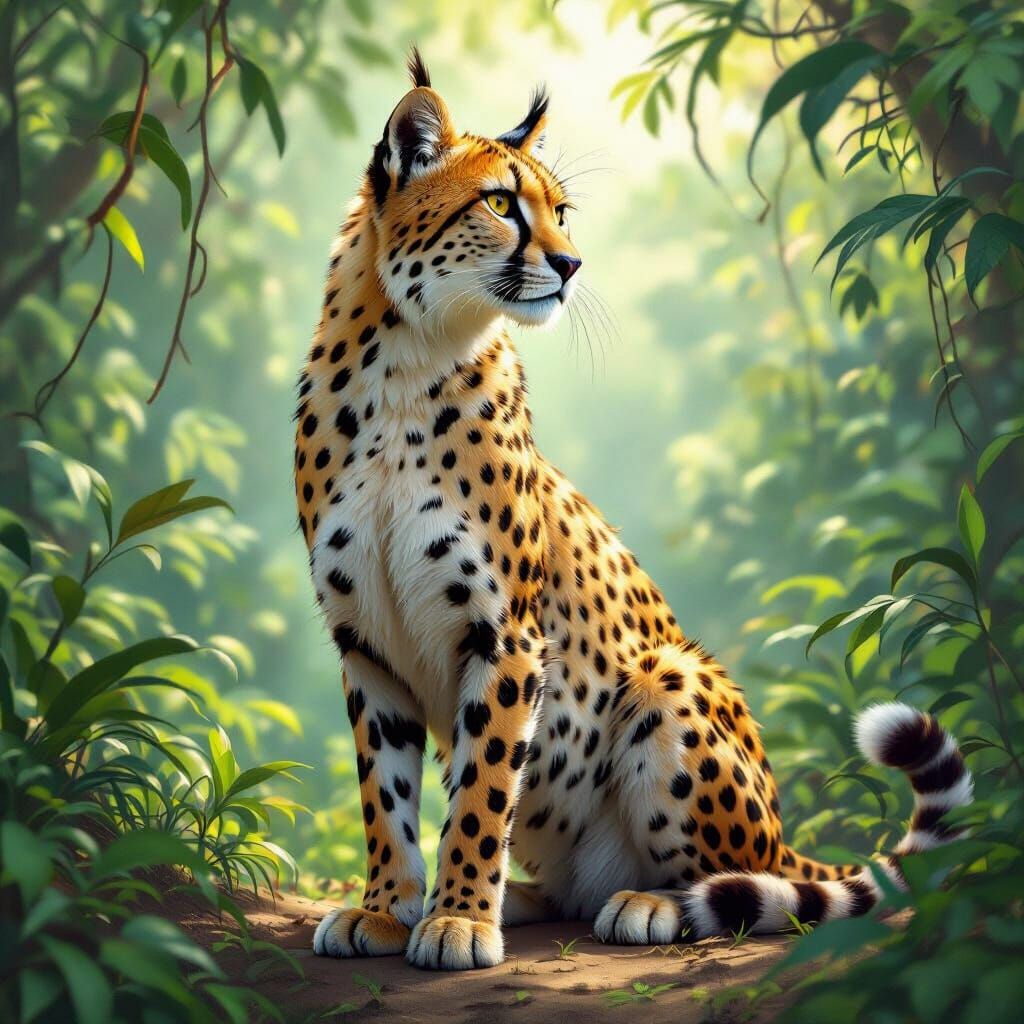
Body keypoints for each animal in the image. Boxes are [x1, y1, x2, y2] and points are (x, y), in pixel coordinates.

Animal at [296, 50, 973, 971]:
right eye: (500, 203)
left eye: (561, 211)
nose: (572, 265)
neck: (405, 359)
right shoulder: (367, 643)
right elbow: (385, 795)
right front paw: (388, 908)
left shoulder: (506, 637)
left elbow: (480, 791)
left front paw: (459, 919)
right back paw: (522, 898)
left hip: (668, 679)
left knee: (748, 880)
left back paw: (649, 904)